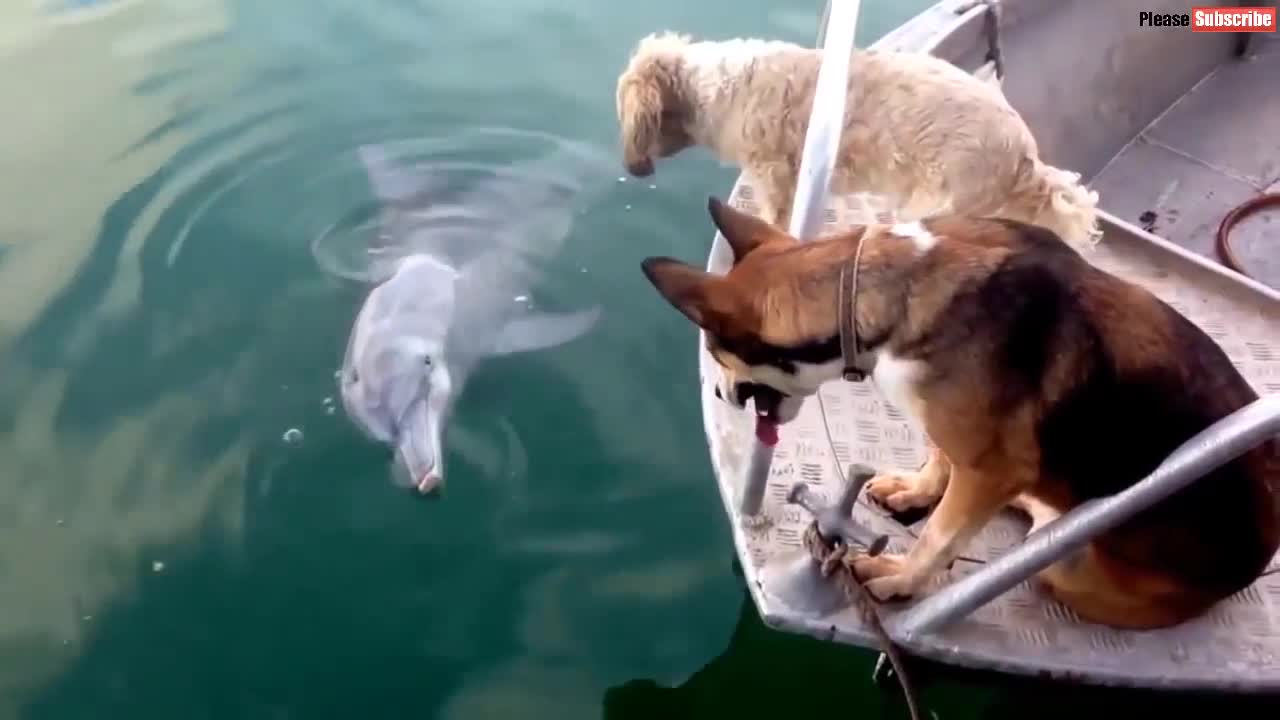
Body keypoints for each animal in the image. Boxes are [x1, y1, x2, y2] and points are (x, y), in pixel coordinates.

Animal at [614, 32, 1095, 248]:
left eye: (625, 118)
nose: (631, 169)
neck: (709, 88)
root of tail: (1026, 161)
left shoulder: (775, 177)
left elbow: (774, 221)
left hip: (936, 205)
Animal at [645, 196, 1280, 627]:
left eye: (718, 356)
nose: (721, 395)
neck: (871, 290)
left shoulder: (991, 465)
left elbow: (940, 535)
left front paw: (904, 580)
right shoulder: (964, 442)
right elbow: (940, 458)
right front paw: (918, 489)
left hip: (1064, 566)